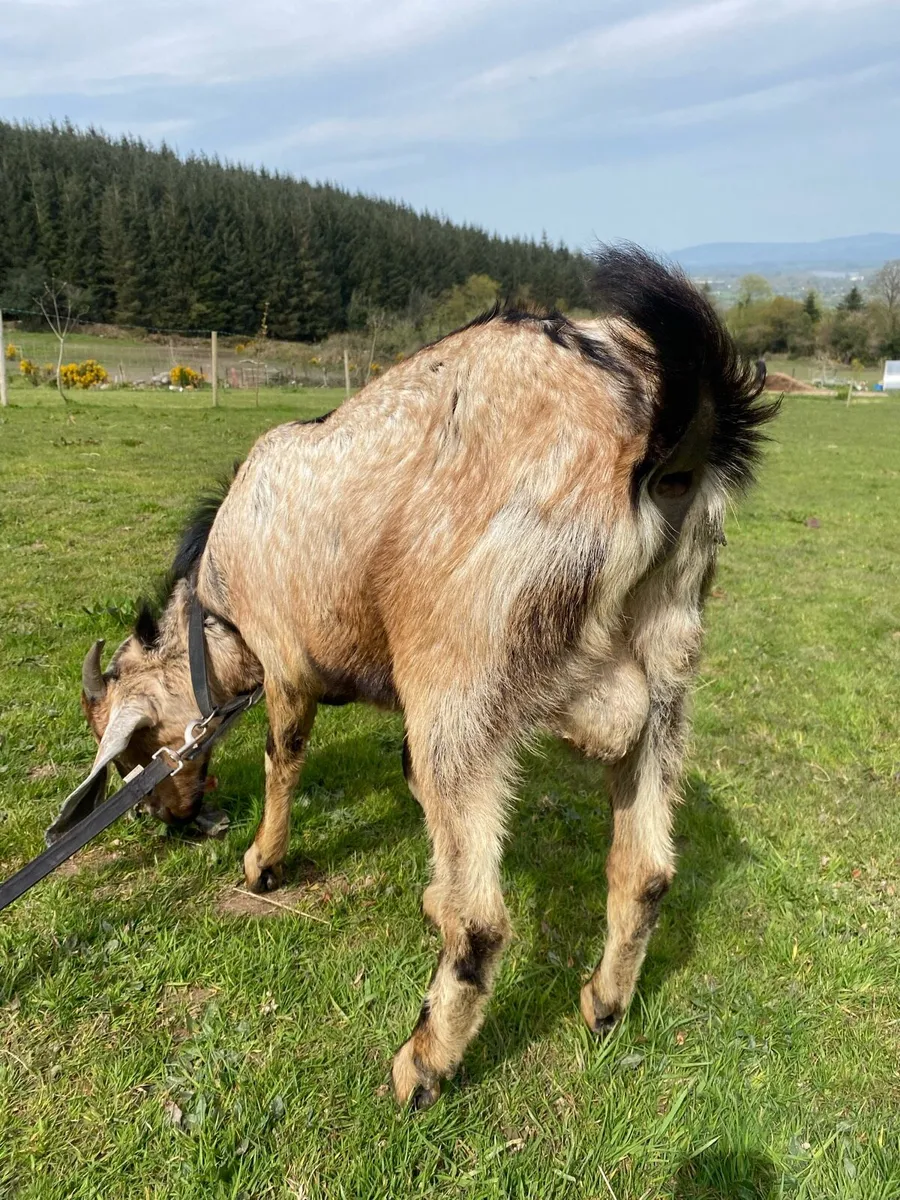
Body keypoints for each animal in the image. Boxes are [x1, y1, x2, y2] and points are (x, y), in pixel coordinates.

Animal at [73, 246, 778, 1109]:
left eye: (137, 751)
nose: (169, 820)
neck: (216, 602)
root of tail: (660, 421)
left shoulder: (288, 665)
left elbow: (284, 759)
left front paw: (263, 864)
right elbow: (412, 785)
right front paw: (430, 894)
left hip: (460, 674)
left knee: (484, 924)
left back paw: (423, 1064)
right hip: (668, 674)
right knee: (644, 870)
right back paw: (603, 1005)